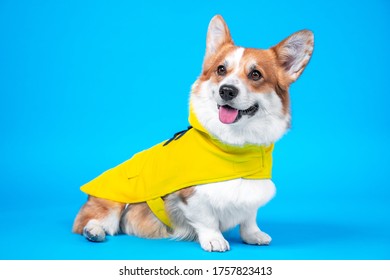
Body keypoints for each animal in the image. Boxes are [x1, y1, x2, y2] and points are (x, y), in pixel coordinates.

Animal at [73, 14, 314, 252]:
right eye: (221, 70)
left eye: (256, 74)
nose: (227, 91)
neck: (235, 148)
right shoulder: (191, 196)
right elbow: (207, 219)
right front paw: (214, 239)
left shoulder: (252, 192)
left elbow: (249, 217)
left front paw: (253, 235)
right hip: (113, 201)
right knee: (93, 220)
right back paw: (93, 231)